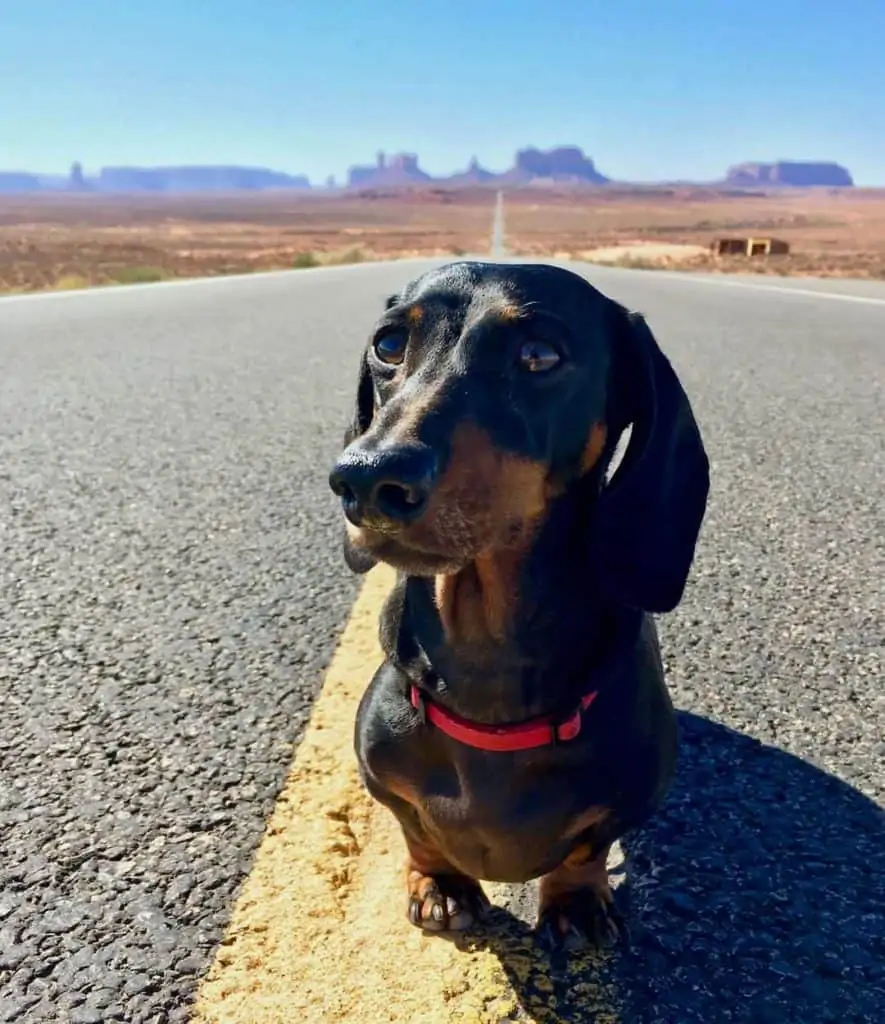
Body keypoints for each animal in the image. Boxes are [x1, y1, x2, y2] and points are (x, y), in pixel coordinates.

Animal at [327, 260, 708, 946]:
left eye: (539, 354)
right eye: (389, 344)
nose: (365, 478)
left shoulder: (631, 794)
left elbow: (587, 846)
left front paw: (576, 901)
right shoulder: (384, 778)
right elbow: (418, 830)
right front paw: (440, 883)